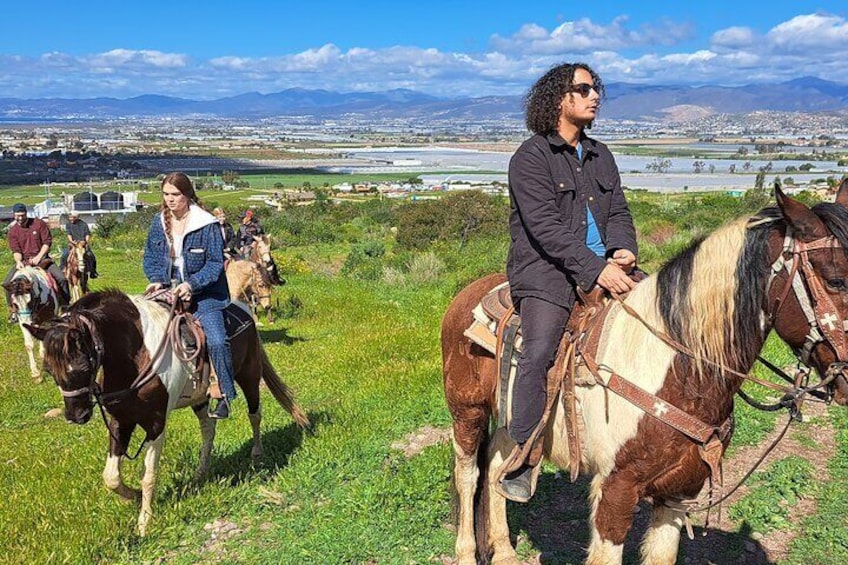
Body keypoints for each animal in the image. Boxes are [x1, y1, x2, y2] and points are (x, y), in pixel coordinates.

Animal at [24, 288, 312, 536]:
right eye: (49, 369)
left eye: (82, 366)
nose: (76, 416)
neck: (136, 354)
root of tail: (244, 308)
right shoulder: (121, 421)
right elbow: (111, 477)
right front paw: (134, 497)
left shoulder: (155, 423)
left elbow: (149, 475)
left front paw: (144, 522)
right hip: (200, 399)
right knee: (208, 429)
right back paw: (200, 473)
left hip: (249, 375)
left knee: (255, 414)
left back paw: (257, 454)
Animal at [440, 185, 848, 564]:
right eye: (836, 281)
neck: (677, 372)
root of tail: (467, 293)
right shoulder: (616, 490)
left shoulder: (680, 491)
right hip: (467, 411)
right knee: (469, 475)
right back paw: (466, 552)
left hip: (509, 419)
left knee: (497, 466)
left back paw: (505, 551)